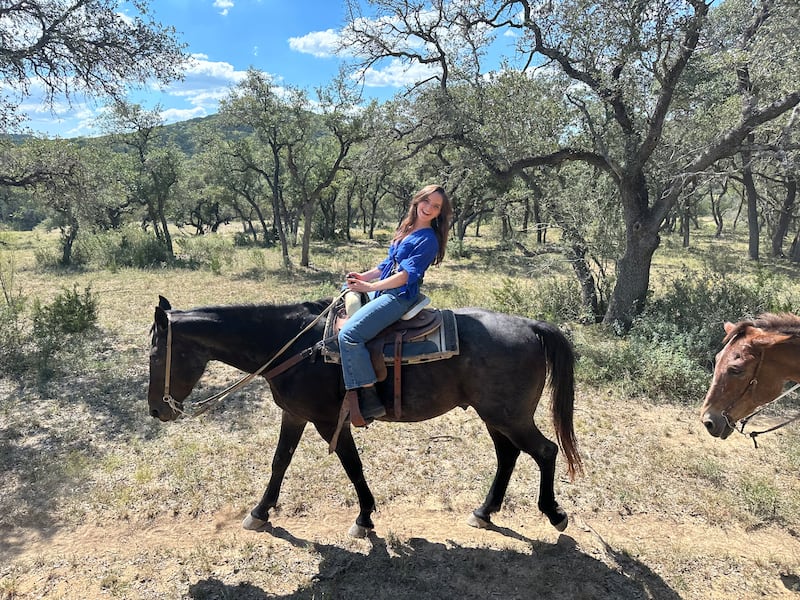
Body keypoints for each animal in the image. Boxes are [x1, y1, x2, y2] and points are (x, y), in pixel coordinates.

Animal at [148, 298, 580, 536]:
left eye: (154, 354)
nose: (156, 410)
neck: (298, 346)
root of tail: (531, 325)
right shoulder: (295, 415)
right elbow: (280, 462)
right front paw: (259, 512)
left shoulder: (327, 421)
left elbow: (352, 465)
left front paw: (364, 518)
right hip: (495, 416)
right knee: (508, 456)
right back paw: (484, 512)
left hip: (510, 416)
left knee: (545, 451)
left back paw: (554, 514)